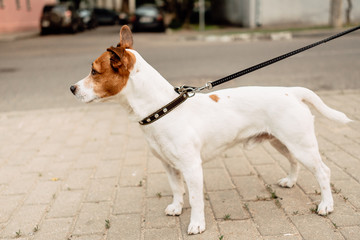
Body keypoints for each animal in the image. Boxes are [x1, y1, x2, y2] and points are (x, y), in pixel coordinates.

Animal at [70, 25, 352, 234]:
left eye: (94, 71)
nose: (71, 88)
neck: (163, 108)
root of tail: (291, 92)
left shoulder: (192, 168)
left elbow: (195, 199)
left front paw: (196, 224)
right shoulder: (169, 165)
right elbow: (177, 189)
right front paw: (176, 207)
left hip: (301, 144)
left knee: (323, 172)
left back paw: (326, 205)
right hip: (281, 142)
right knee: (293, 161)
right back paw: (291, 181)